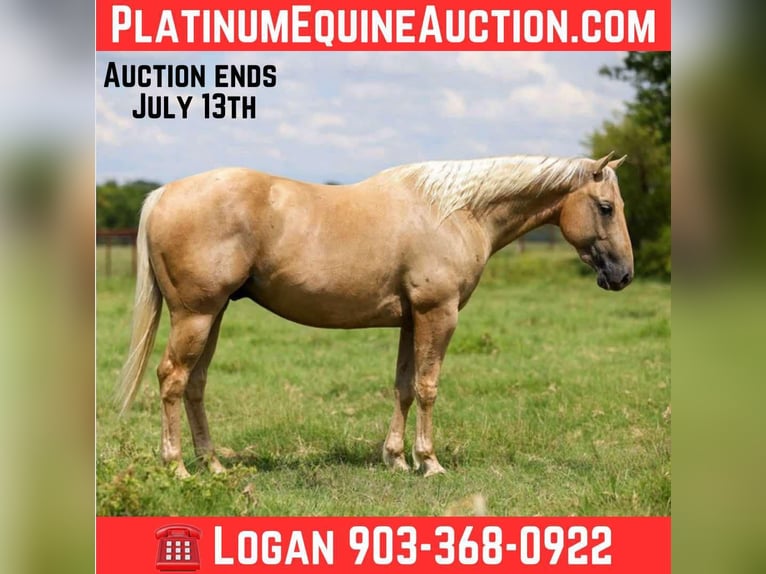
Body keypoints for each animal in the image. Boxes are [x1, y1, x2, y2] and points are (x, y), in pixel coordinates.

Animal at [117, 151, 632, 478]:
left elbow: (403, 387)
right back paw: (177, 467)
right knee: (172, 379)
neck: (455, 212)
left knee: (195, 384)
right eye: (606, 207)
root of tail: (163, 194)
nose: (623, 275)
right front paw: (430, 462)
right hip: (196, 315)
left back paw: (214, 464)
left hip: (214, 315)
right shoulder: (437, 314)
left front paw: (397, 459)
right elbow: (427, 388)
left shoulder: (410, 320)